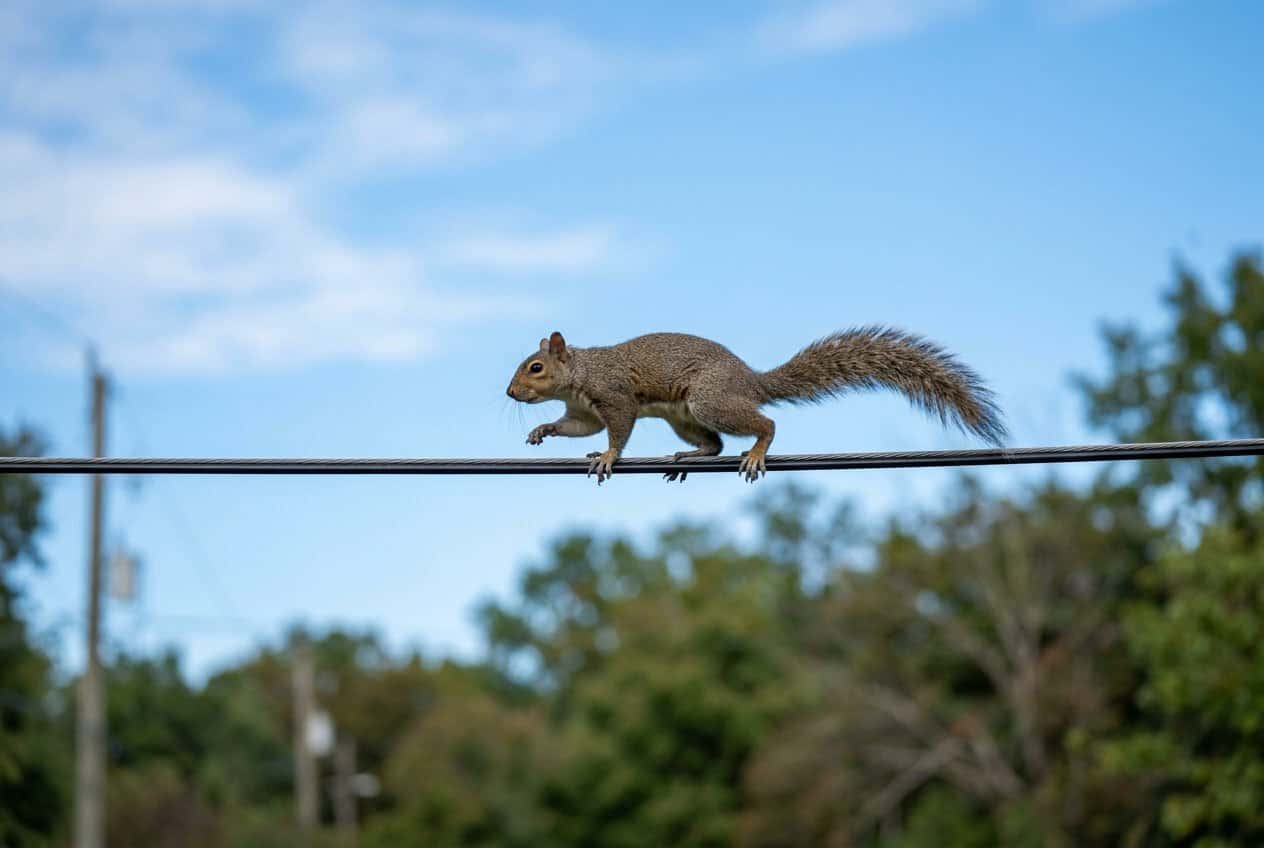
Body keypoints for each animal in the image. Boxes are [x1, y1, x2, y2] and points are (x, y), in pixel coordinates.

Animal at [506, 327, 1006, 484]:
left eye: (535, 367)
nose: (510, 393)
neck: (579, 375)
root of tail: (751, 381)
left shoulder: (615, 396)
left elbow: (619, 429)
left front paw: (609, 456)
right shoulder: (584, 412)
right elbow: (576, 428)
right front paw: (542, 431)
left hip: (709, 400)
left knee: (763, 424)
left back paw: (758, 450)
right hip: (687, 418)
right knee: (715, 445)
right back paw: (688, 456)